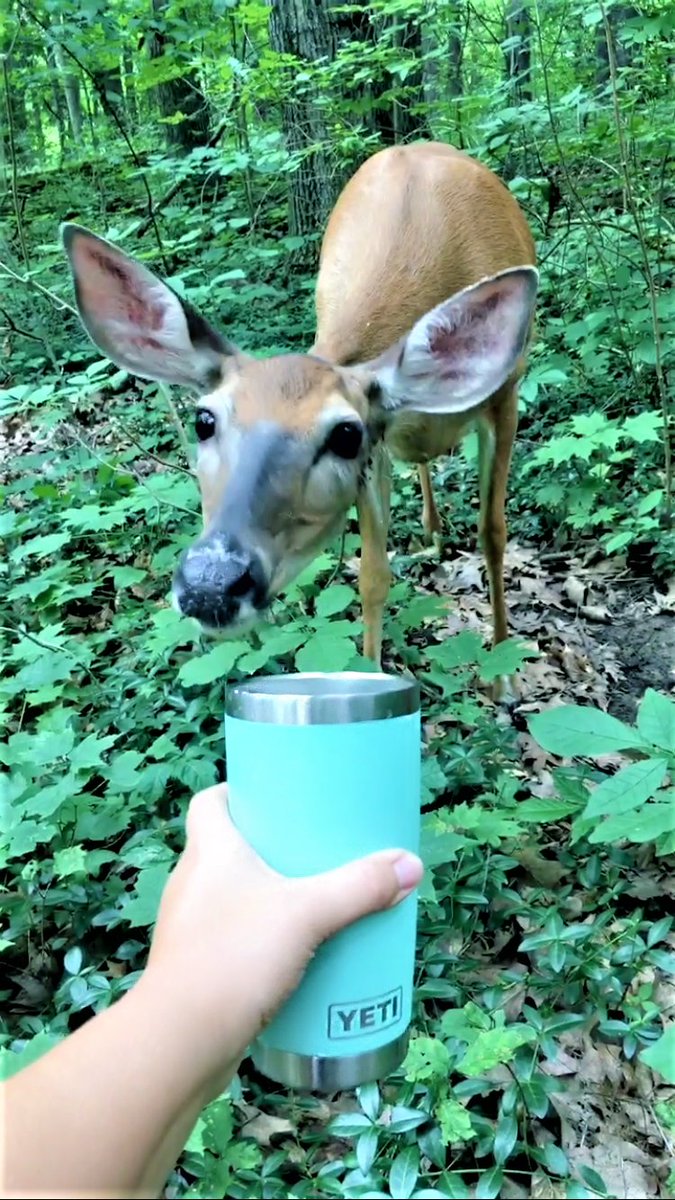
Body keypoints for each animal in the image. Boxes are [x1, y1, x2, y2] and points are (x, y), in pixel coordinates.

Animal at [62, 141, 537, 672]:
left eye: (345, 434)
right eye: (203, 420)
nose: (212, 584)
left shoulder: (504, 395)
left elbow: (493, 533)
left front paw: (504, 670)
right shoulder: (378, 448)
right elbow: (373, 576)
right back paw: (431, 528)